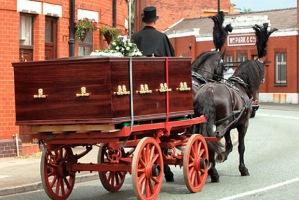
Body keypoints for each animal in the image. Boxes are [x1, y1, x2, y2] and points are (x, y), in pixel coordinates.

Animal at [193, 23, 278, 181]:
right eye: (261, 71)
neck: (240, 86)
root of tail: (209, 90)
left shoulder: (230, 125)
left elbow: (229, 145)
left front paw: (222, 156)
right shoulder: (243, 124)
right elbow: (240, 147)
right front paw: (242, 168)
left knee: (204, 138)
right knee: (213, 138)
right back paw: (213, 171)